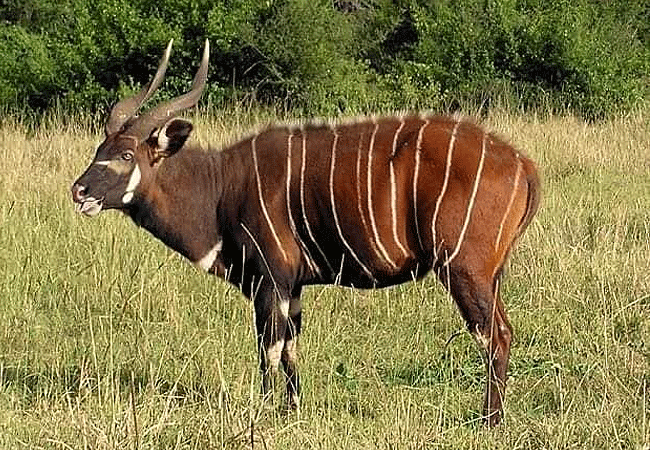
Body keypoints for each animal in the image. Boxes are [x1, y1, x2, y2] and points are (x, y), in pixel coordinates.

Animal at [71, 40, 540, 426]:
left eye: (126, 154)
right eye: (99, 149)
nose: (79, 191)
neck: (220, 186)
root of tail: (523, 164)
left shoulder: (270, 279)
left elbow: (269, 348)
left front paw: (263, 411)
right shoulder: (291, 286)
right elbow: (291, 348)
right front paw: (291, 410)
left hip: (463, 270)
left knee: (494, 336)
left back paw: (490, 422)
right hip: (489, 275)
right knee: (502, 330)